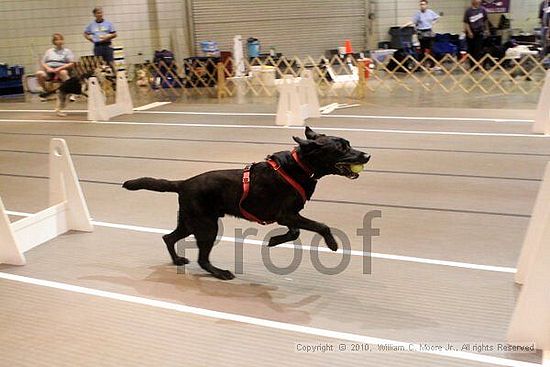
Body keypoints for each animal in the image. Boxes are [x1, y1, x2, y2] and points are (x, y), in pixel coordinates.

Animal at [123, 128, 374, 280]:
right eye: (341, 148)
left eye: (349, 144)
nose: (367, 156)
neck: (300, 166)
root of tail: (183, 183)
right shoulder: (286, 214)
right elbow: (321, 225)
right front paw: (332, 244)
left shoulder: (289, 215)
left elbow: (294, 232)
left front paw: (274, 241)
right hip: (206, 226)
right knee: (202, 258)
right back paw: (220, 273)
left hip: (190, 222)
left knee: (168, 237)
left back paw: (177, 260)